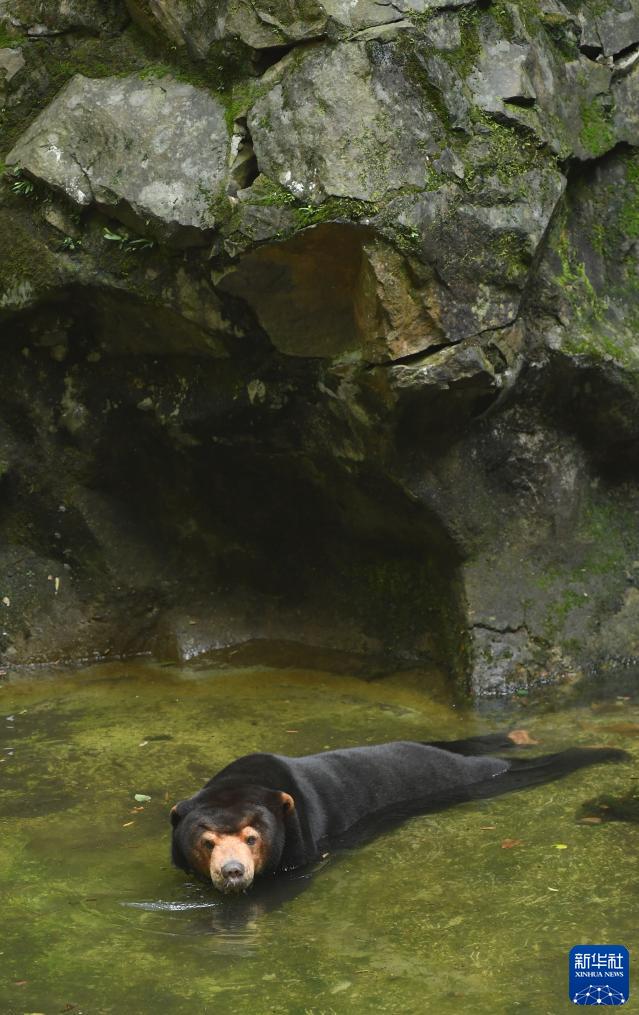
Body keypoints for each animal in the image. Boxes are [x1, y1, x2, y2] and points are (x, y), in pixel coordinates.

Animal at [170, 734, 632, 893]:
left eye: (253, 837)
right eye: (206, 841)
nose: (232, 871)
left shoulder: (301, 843)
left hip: (470, 776)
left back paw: (608, 752)